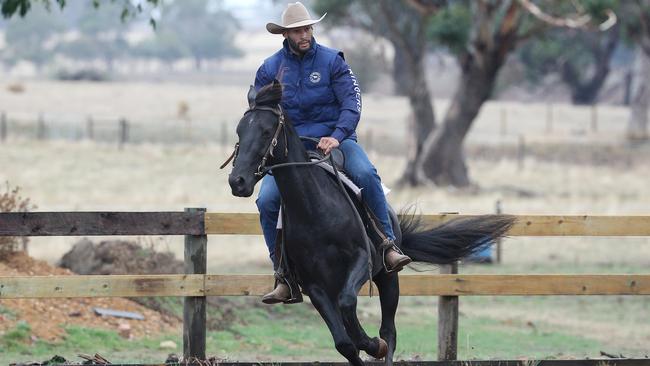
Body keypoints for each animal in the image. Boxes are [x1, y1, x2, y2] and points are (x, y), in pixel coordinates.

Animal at [225, 81, 512, 366]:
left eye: (266, 131)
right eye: (239, 130)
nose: (237, 181)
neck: (315, 210)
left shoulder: (361, 260)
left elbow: (350, 305)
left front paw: (374, 345)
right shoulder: (315, 287)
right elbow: (344, 343)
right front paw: (364, 346)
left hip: (389, 278)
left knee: (389, 330)